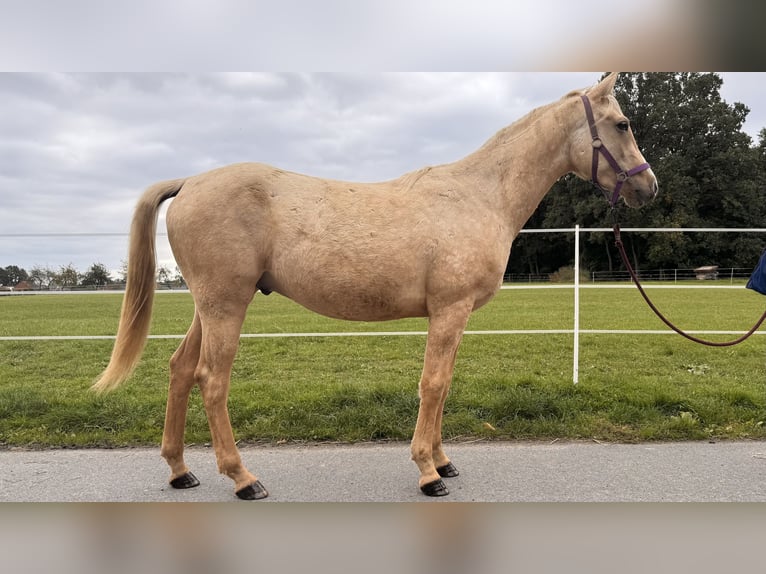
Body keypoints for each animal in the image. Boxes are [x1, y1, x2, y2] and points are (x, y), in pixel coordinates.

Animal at [93, 72, 658, 499]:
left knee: (180, 369)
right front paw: (428, 473)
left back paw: (180, 470)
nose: (648, 186)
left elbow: (444, 385)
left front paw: (443, 460)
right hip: (226, 306)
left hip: (209, 306)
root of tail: (190, 182)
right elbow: (433, 385)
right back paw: (243, 478)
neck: (479, 196)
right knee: (211, 380)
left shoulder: (453, 317)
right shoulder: (450, 311)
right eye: (622, 123)